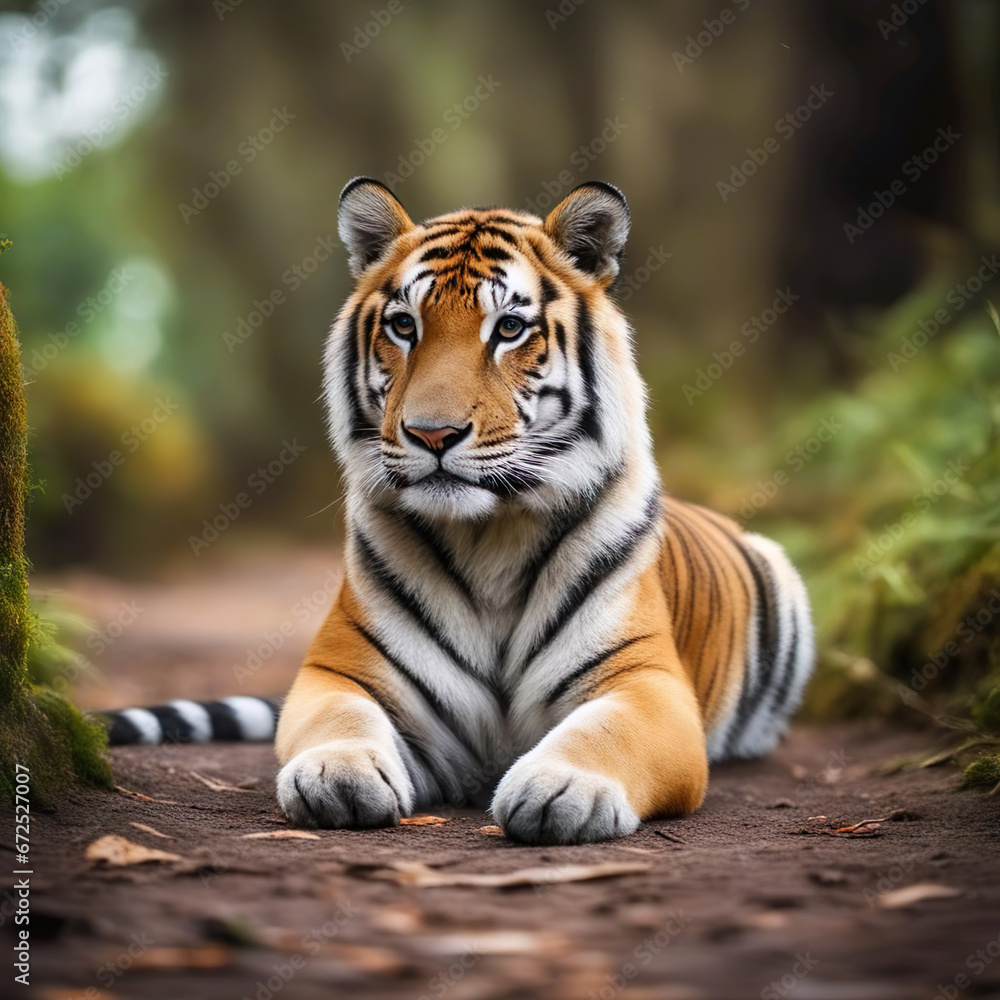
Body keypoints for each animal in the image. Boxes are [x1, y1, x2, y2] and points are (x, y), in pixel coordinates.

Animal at [100, 178, 814, 845]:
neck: (489, 538)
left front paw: (563, 787)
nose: (432, 434)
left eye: (508, 329)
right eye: (404, 326)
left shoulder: (647, 681)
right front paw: (338, 773)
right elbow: (339, 715)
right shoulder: (342, 671)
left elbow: (608, 731)